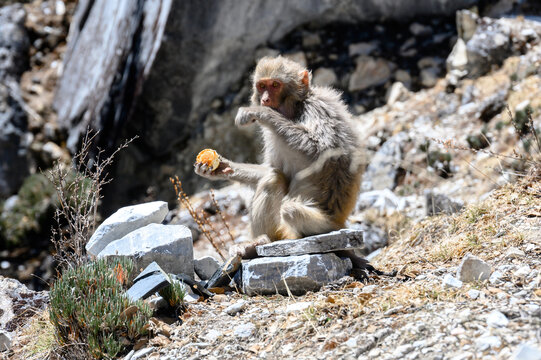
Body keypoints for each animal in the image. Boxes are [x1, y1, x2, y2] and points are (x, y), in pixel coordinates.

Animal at [196, 56, 370, 270]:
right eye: (262, 86)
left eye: (275, 85)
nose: (264, 100)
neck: (295, 109)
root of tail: (341, 223)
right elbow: (275, 170)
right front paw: (220, 168)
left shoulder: (318, 109)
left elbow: (323, 150)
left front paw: (258, 111)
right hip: (283, 230)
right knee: (273, 179)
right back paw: (258, 244)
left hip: (326, 227)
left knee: (290, 210)